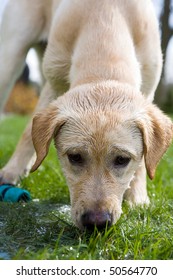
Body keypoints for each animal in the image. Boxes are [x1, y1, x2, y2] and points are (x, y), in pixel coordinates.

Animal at [0, 0, 172, 230]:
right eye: (75, 157)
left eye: (122, 160)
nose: (96, 223)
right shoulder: (55, 81)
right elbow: (28, 132)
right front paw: (12, 171)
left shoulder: (149, 88)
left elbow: (145, 161)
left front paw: (138, 198)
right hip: (12, 56)